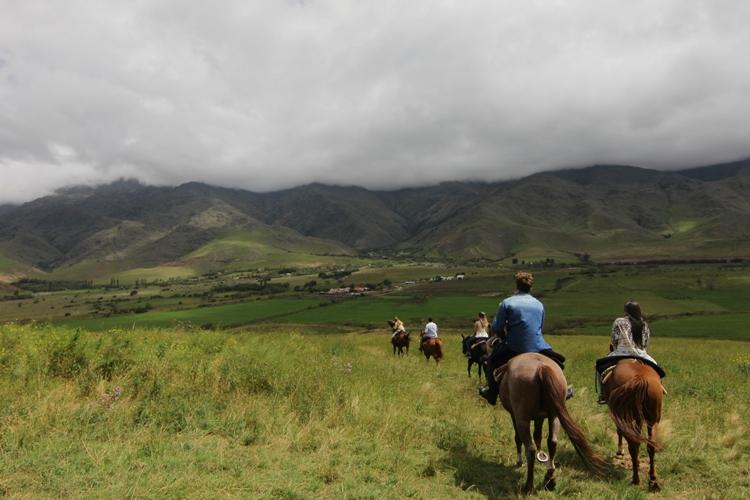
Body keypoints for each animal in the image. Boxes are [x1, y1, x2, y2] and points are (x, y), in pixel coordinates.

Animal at [500, 352, 604, 492]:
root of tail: (541, 368)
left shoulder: (514, 415)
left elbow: (518, 438)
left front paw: (519, 462)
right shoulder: (539, 417)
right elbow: (538, 435)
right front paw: (541, 455)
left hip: (523, 418)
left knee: (530, 448)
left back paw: (529, 485)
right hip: (555, 416)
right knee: (553, 442)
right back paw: (549, 478)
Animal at [604, 360, 664, 492]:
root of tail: (639, 378)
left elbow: (619, 432)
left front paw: (620, 451)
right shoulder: (639, 419)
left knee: (633, 445)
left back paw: (635, 479)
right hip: (653, 420)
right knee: (650, 445)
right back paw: (653, 480)